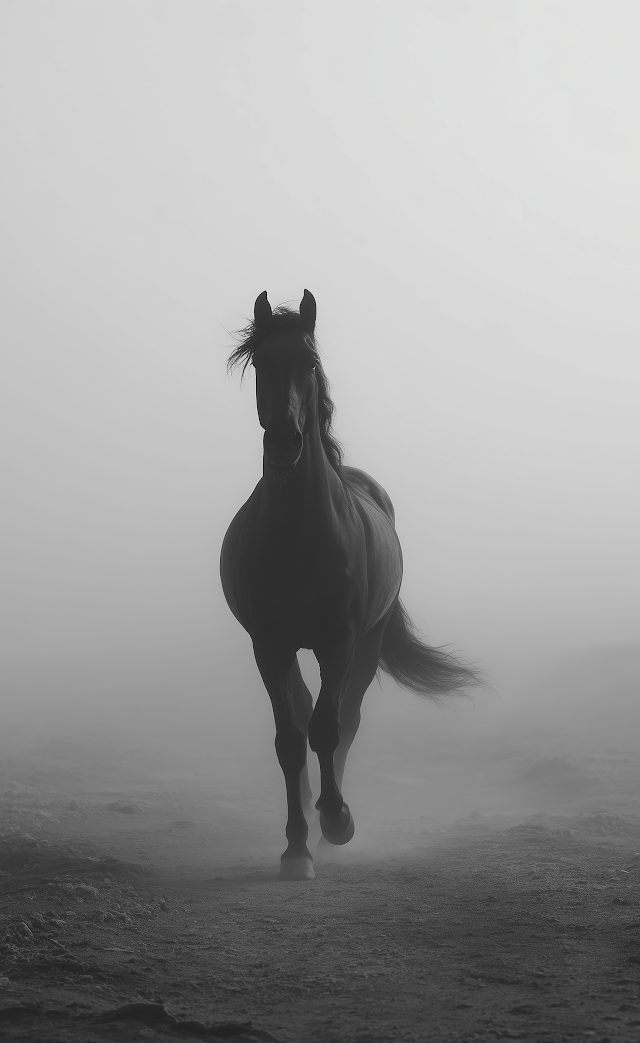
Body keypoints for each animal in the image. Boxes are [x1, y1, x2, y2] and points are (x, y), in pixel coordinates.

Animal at [220, 291, 478, 880]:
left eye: (311, 364)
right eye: (260, 364)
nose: (286, 443)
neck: (299, 533)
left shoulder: (339, 641)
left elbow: (329, 728)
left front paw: (336, 822)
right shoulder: (268, 645)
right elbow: (290, 739)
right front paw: (295, 848)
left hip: (369, 642)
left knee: (347, 717)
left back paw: (330, 816)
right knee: (303, 712)